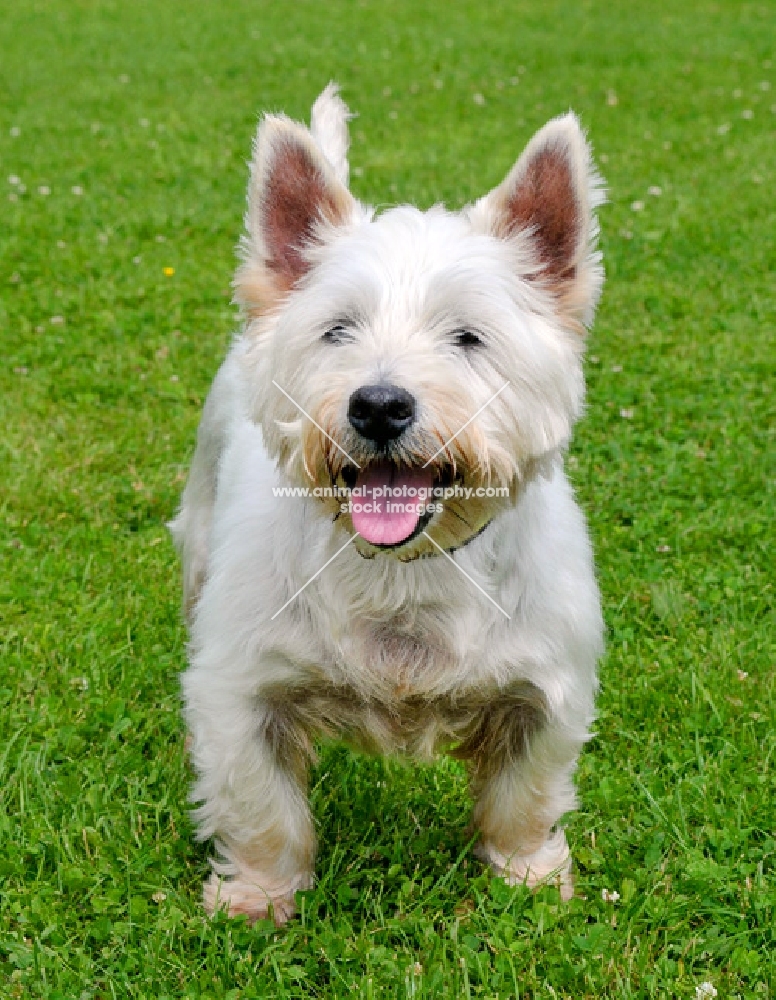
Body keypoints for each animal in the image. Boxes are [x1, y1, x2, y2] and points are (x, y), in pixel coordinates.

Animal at [170, 82, 608, 924]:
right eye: (337, 330)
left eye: (468, 337)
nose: (377, 405)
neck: (405, 573)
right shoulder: (240, 689)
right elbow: (264, 809)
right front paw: (258, 899)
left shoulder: (547, 690)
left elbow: (524, 797)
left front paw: (528, 878)